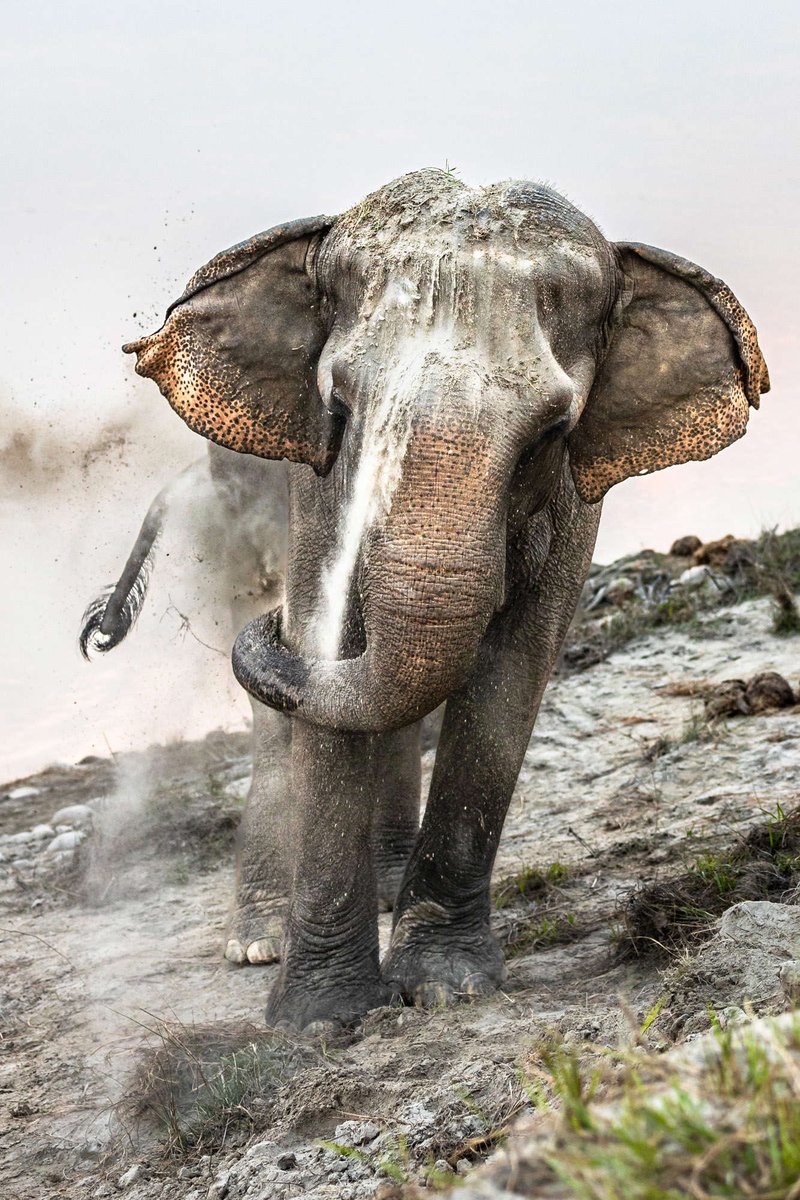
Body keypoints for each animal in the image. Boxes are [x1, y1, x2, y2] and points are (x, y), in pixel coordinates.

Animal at [99, 169, 769, 1032]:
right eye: (339, 409)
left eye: (551, 432)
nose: (267, 621)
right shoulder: (315, 484)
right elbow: (328, 641)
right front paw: (320, 1023)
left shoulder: (576, 498)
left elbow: (517, 664)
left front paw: (446, 989)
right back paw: (258, 942)